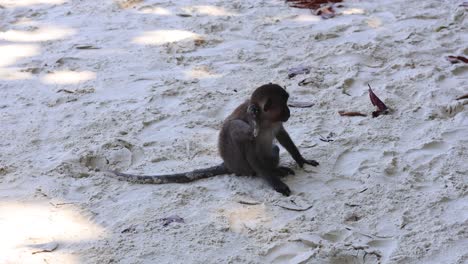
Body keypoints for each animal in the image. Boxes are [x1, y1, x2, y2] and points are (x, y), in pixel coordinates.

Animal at [108, 83, 320, 196]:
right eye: (283, 106)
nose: (289, 112)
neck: (265, 120)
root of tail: (228, 165)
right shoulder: (247, 126)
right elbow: (244, 142)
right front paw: (276, 183)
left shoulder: (275, 124)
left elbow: (283, 136)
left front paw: (301, 160)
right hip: (243, 166)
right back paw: (272, 172)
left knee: (273, 149)